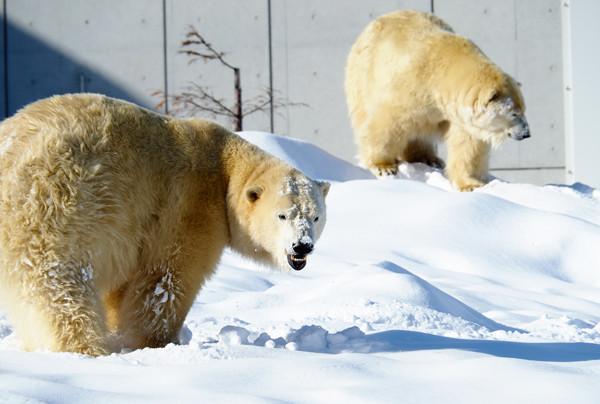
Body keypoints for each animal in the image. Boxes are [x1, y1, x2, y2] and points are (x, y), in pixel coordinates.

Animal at [0, 93, 330, 356]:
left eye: (316, 216)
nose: (302, 246)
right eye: (282, 215)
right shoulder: (188, 206)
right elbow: (166, 278)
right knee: (56, 286)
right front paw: (158, 342)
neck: (224, 168)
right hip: (55, 203)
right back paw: (85, 349)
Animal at [346, 9, 528, 191]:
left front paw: (472, 184)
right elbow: (388, 122)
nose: (527, 133)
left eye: (523, 110)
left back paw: (429, 159)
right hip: (363, 79)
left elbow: (468, 146)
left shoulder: (459, 115)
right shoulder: (413, 87)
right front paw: (383, 167)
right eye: (514, 113)